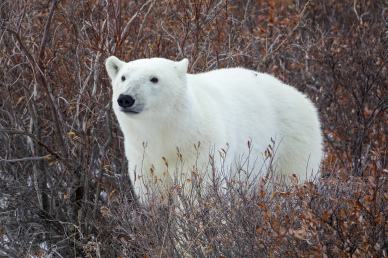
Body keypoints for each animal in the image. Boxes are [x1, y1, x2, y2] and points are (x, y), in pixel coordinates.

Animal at [104, 56, 322, 202]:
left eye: (154, 78)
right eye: (123, 77)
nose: (126, 98)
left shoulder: (200, 148)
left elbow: (198, 194)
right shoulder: (142, 153)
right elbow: (152, 194)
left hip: (291, 145)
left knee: (291, 182)